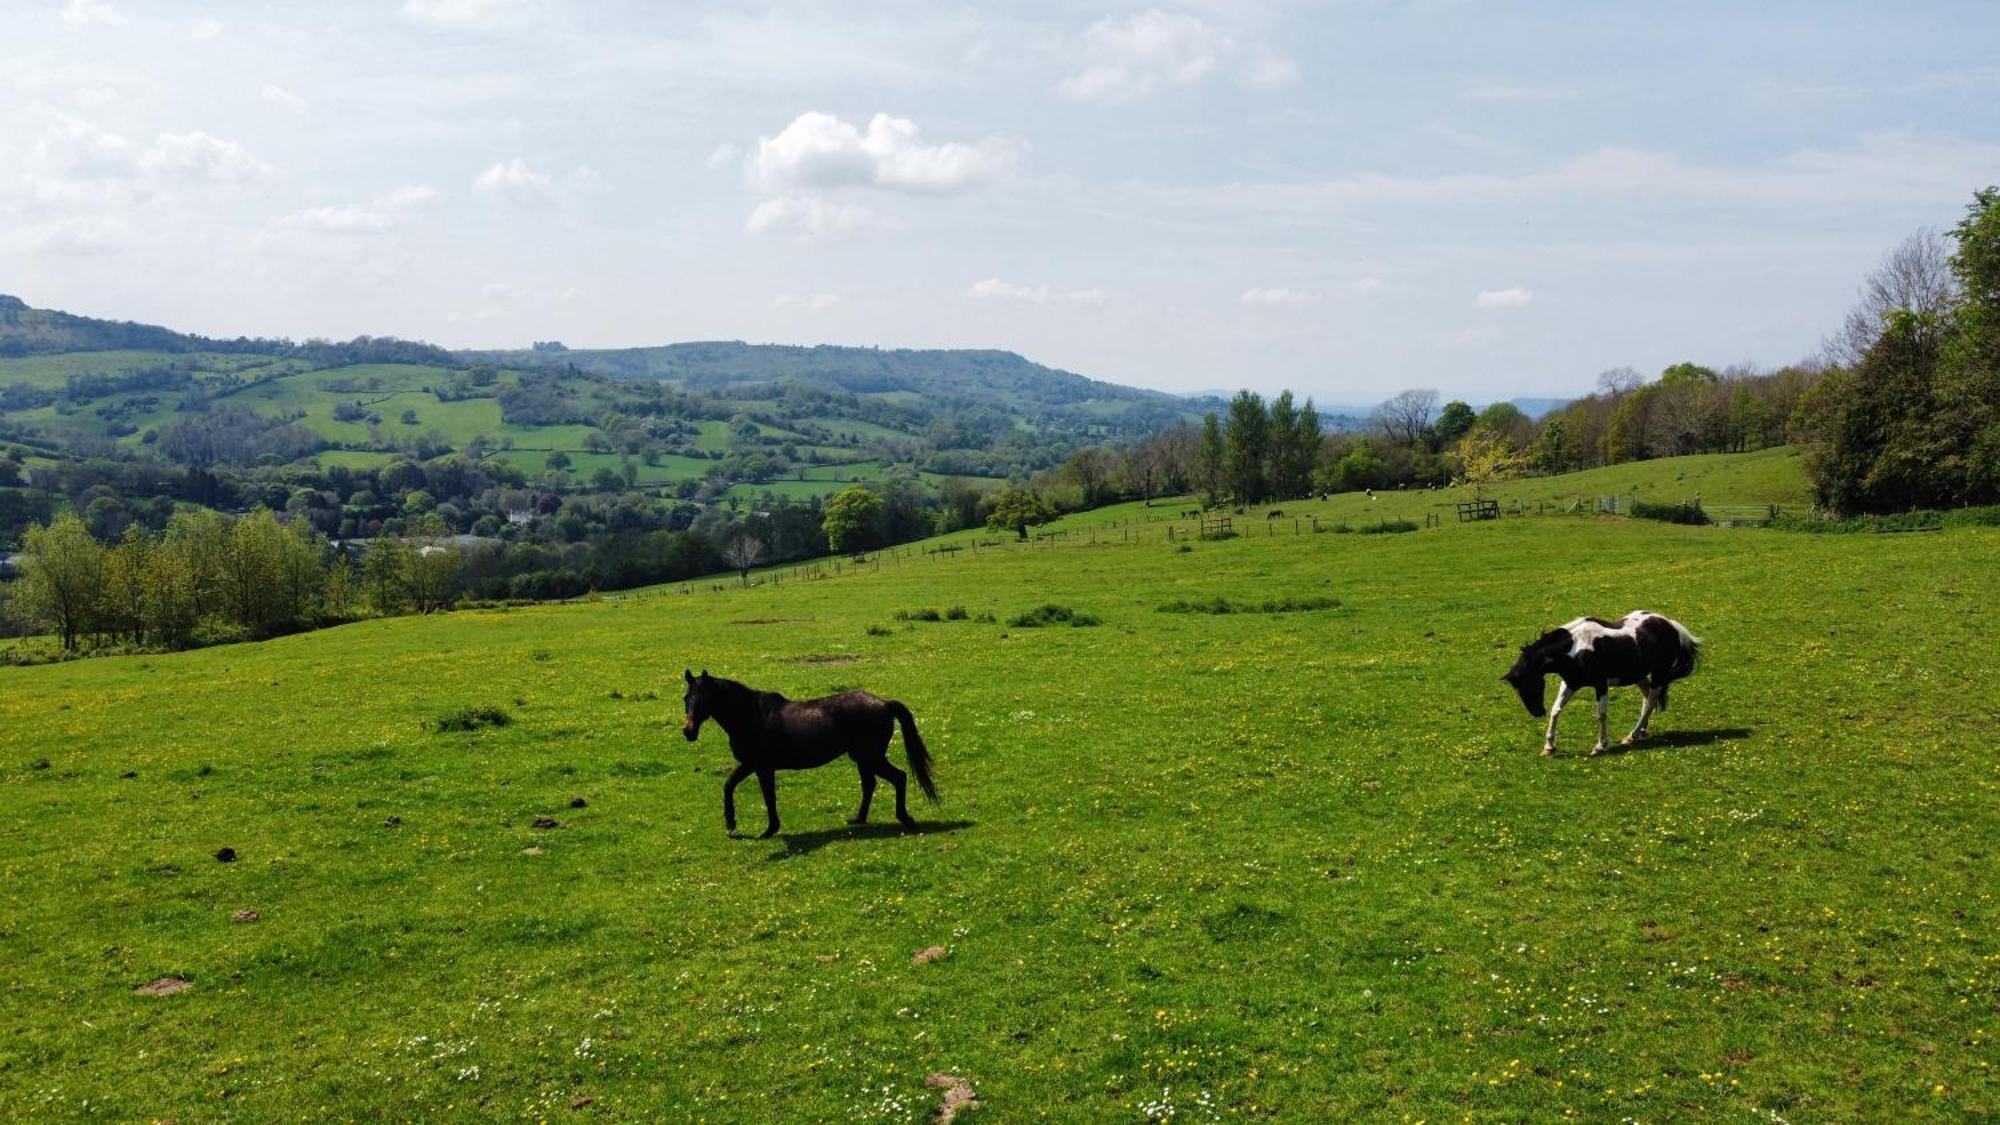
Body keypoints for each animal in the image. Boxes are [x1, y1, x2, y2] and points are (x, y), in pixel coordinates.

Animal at [680, 664, 936, 832]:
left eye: (703, 699)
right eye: (686, 698)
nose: (688, 731)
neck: (751, 716)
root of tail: (883, 703)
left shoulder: (763, 767)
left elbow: (768, 796)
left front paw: (770, 829)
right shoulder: (750, 764)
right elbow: (729, 785)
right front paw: (731, 823)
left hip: (870, 756)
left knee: (898, 777)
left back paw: (905, 818)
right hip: (863, 758)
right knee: (870, 785)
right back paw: (858, 819)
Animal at [1504, 608, 1704, 756]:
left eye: (1532, 684)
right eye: (1519, 689)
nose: (1538, 712)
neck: (1575, 649)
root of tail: (1671, 625)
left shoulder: (1600, 685)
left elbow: (1600, 715)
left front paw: (1600, 746)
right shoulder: (1570, 683)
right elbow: (1556, 710)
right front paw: (1549, 747)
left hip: (1659, 674)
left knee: (1650, 703)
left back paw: (1631, 735)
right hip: (1639, 675)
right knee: (1647, 699)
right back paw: (1640, 733)